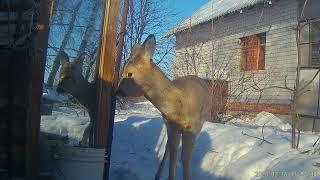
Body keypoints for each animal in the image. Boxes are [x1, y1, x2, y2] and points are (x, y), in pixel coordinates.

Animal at [117, 34, 212, 179]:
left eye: (129, 73)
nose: (117, 91)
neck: (178, 103)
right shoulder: (172, 127)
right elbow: (173, 157)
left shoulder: (192, 128)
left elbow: (185, 159)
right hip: (169, 127)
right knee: (168, 149)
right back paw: (157, 175)